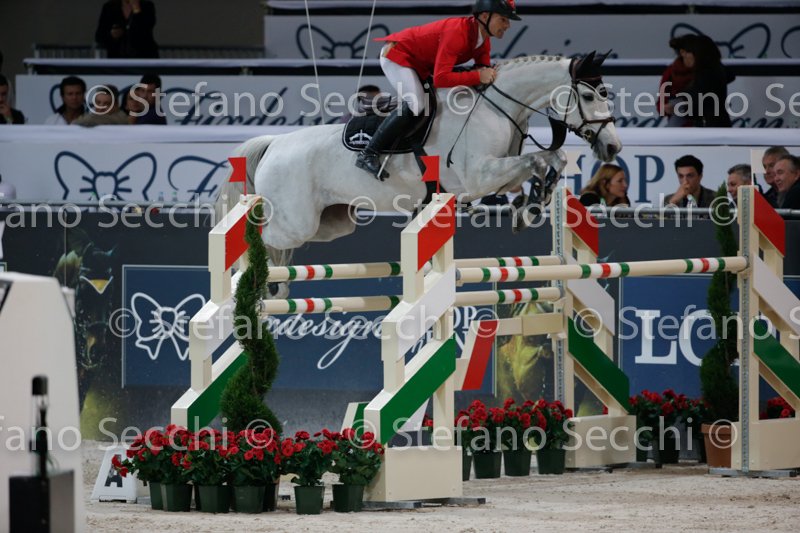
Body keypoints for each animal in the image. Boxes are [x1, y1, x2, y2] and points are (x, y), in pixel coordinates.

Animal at [219, 52, 621, 295]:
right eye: (589, 97)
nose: (613, 147)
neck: (497, 107)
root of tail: (275, 143)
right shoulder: (478, 176)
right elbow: (537, 161)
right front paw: (532, 203)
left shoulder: (495, 176)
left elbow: (552, 158)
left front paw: (532, 203)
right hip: (296, 220)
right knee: (260, 236)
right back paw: (252, 279)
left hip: (331, 222)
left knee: (283, 247)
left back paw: (276, 286)